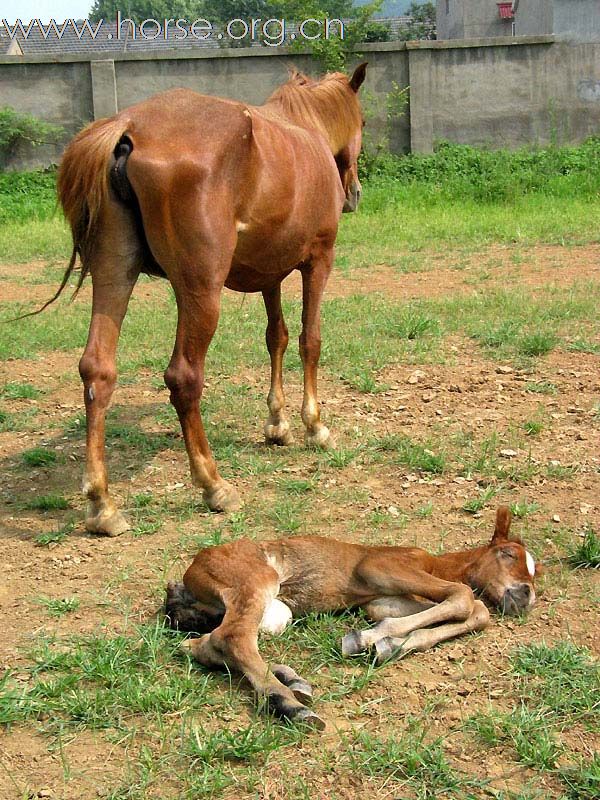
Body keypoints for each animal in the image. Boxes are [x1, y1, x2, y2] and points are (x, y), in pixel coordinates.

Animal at [54, 64, 368, 536]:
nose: (354, 194)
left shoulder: (268, 273)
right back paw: (213, 484)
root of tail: (128, 128)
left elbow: (276, 337)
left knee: (97, 371)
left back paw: (102, 503)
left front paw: (277, 423)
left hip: (113, 274)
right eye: (362, 122)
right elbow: (309, 341)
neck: (305, 128)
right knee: (184, 378)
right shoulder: (318, 260)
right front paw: (313, 425)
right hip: (201, 290)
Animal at [165, 510, 540, 728]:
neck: (435, 562)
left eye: (535, 573)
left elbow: (475, 610)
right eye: (508, 554)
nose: (525, 594)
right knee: (232, 637)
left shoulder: (382, 600)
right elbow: (466, 597)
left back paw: (292, 682)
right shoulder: (382, 566)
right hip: (256, 579)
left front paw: (385, 644)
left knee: (204, 643)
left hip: (271, 610)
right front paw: (368, 639)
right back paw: (288, 703)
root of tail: (192, 569)